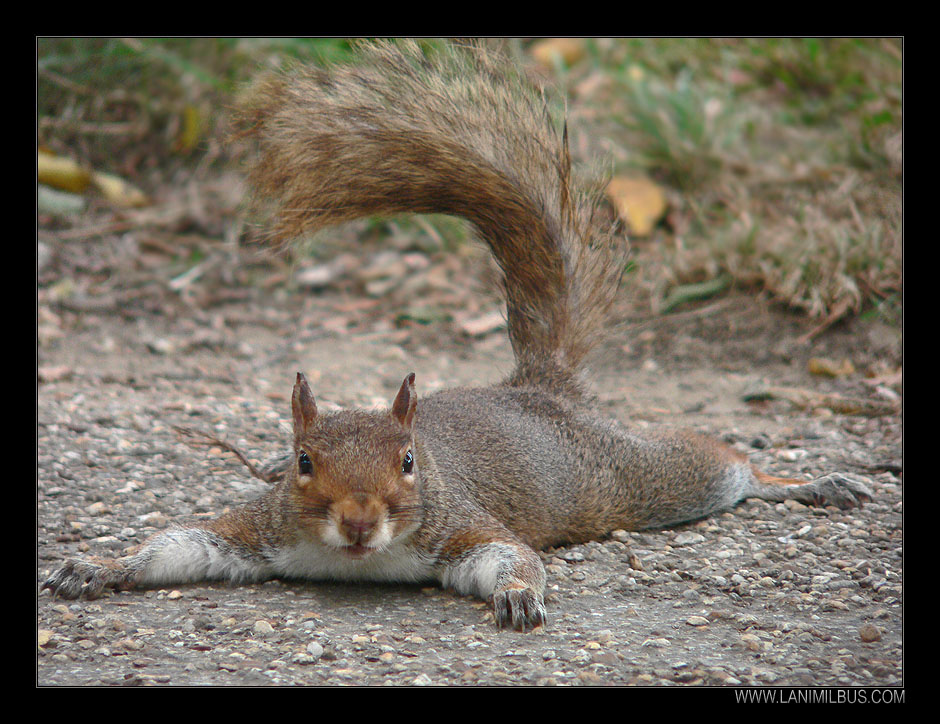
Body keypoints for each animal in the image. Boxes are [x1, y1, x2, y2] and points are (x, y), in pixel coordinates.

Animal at [40, 41, 872, 632]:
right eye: (306, 463)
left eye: (409, 462)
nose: (358, 520)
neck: (357, 560)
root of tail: (536, 388)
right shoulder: (257, 527)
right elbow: (178, 544)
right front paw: (99, 565)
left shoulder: (462, 526)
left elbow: (511, 555)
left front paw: (518, 596)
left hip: (642, 479)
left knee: (723, 466)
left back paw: (811, 483)